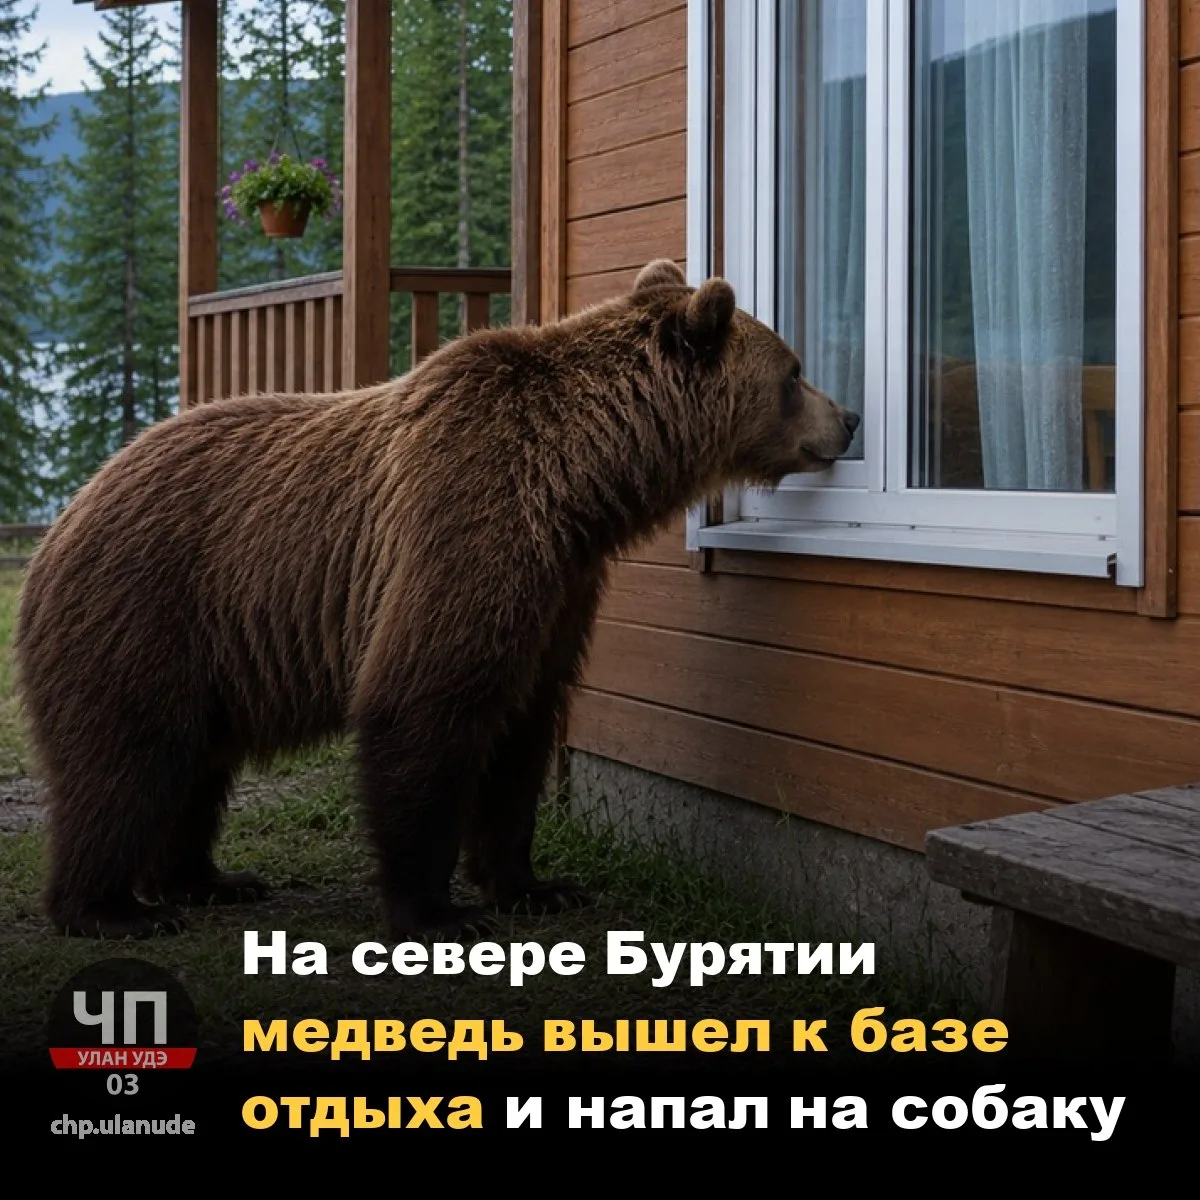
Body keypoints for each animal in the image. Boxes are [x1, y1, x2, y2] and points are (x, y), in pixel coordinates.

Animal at [14, 258, 859, 942]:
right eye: (793, 372)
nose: (849, 418)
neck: (580, 483)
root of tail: (68, 511)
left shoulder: (559, 584)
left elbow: (523, 729)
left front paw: (534, 884)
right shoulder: (464, 524)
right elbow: (425, 703)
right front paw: (436, 909)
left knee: (194, 765)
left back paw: (208, 879)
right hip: (142, 607)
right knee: (126, 761)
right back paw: (109, 907)